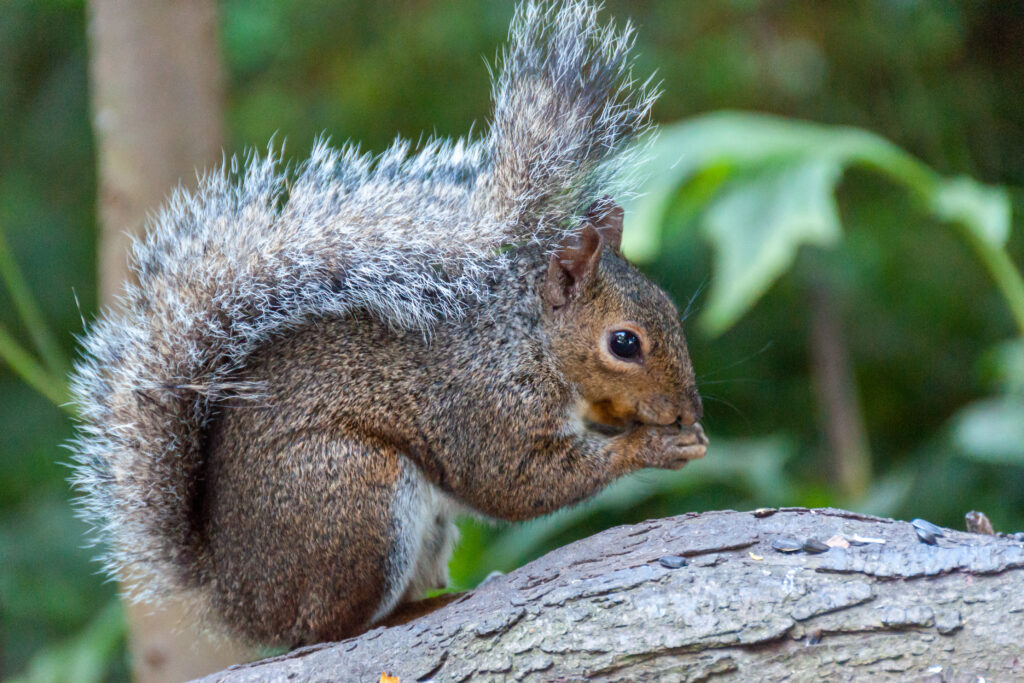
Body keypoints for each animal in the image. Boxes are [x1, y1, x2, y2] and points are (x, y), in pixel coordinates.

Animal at [69, 0, 707, 648]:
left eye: (669, 306)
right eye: (623, 343)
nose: (688, 411)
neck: (527, 341)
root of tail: (239, 597)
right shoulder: (485, 405)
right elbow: (519, 482)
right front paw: (651, 446)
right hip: (355, 496)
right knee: (328, 627)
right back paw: (411, 612)